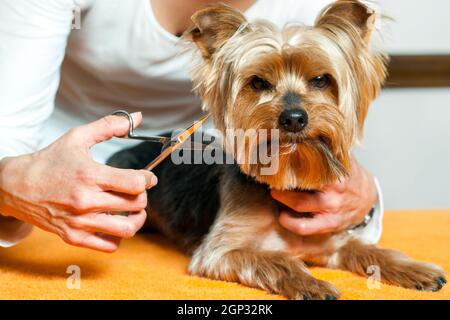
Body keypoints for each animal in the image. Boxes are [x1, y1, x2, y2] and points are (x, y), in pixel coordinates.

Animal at [107, 0, 444, 300]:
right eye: (258, 83)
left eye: (320, 80)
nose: (294, 117)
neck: (290, 173)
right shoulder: (220, 252)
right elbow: (277, 259)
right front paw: (313, 284)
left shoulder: (331, 240)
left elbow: (369, 250)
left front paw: (416, 270)